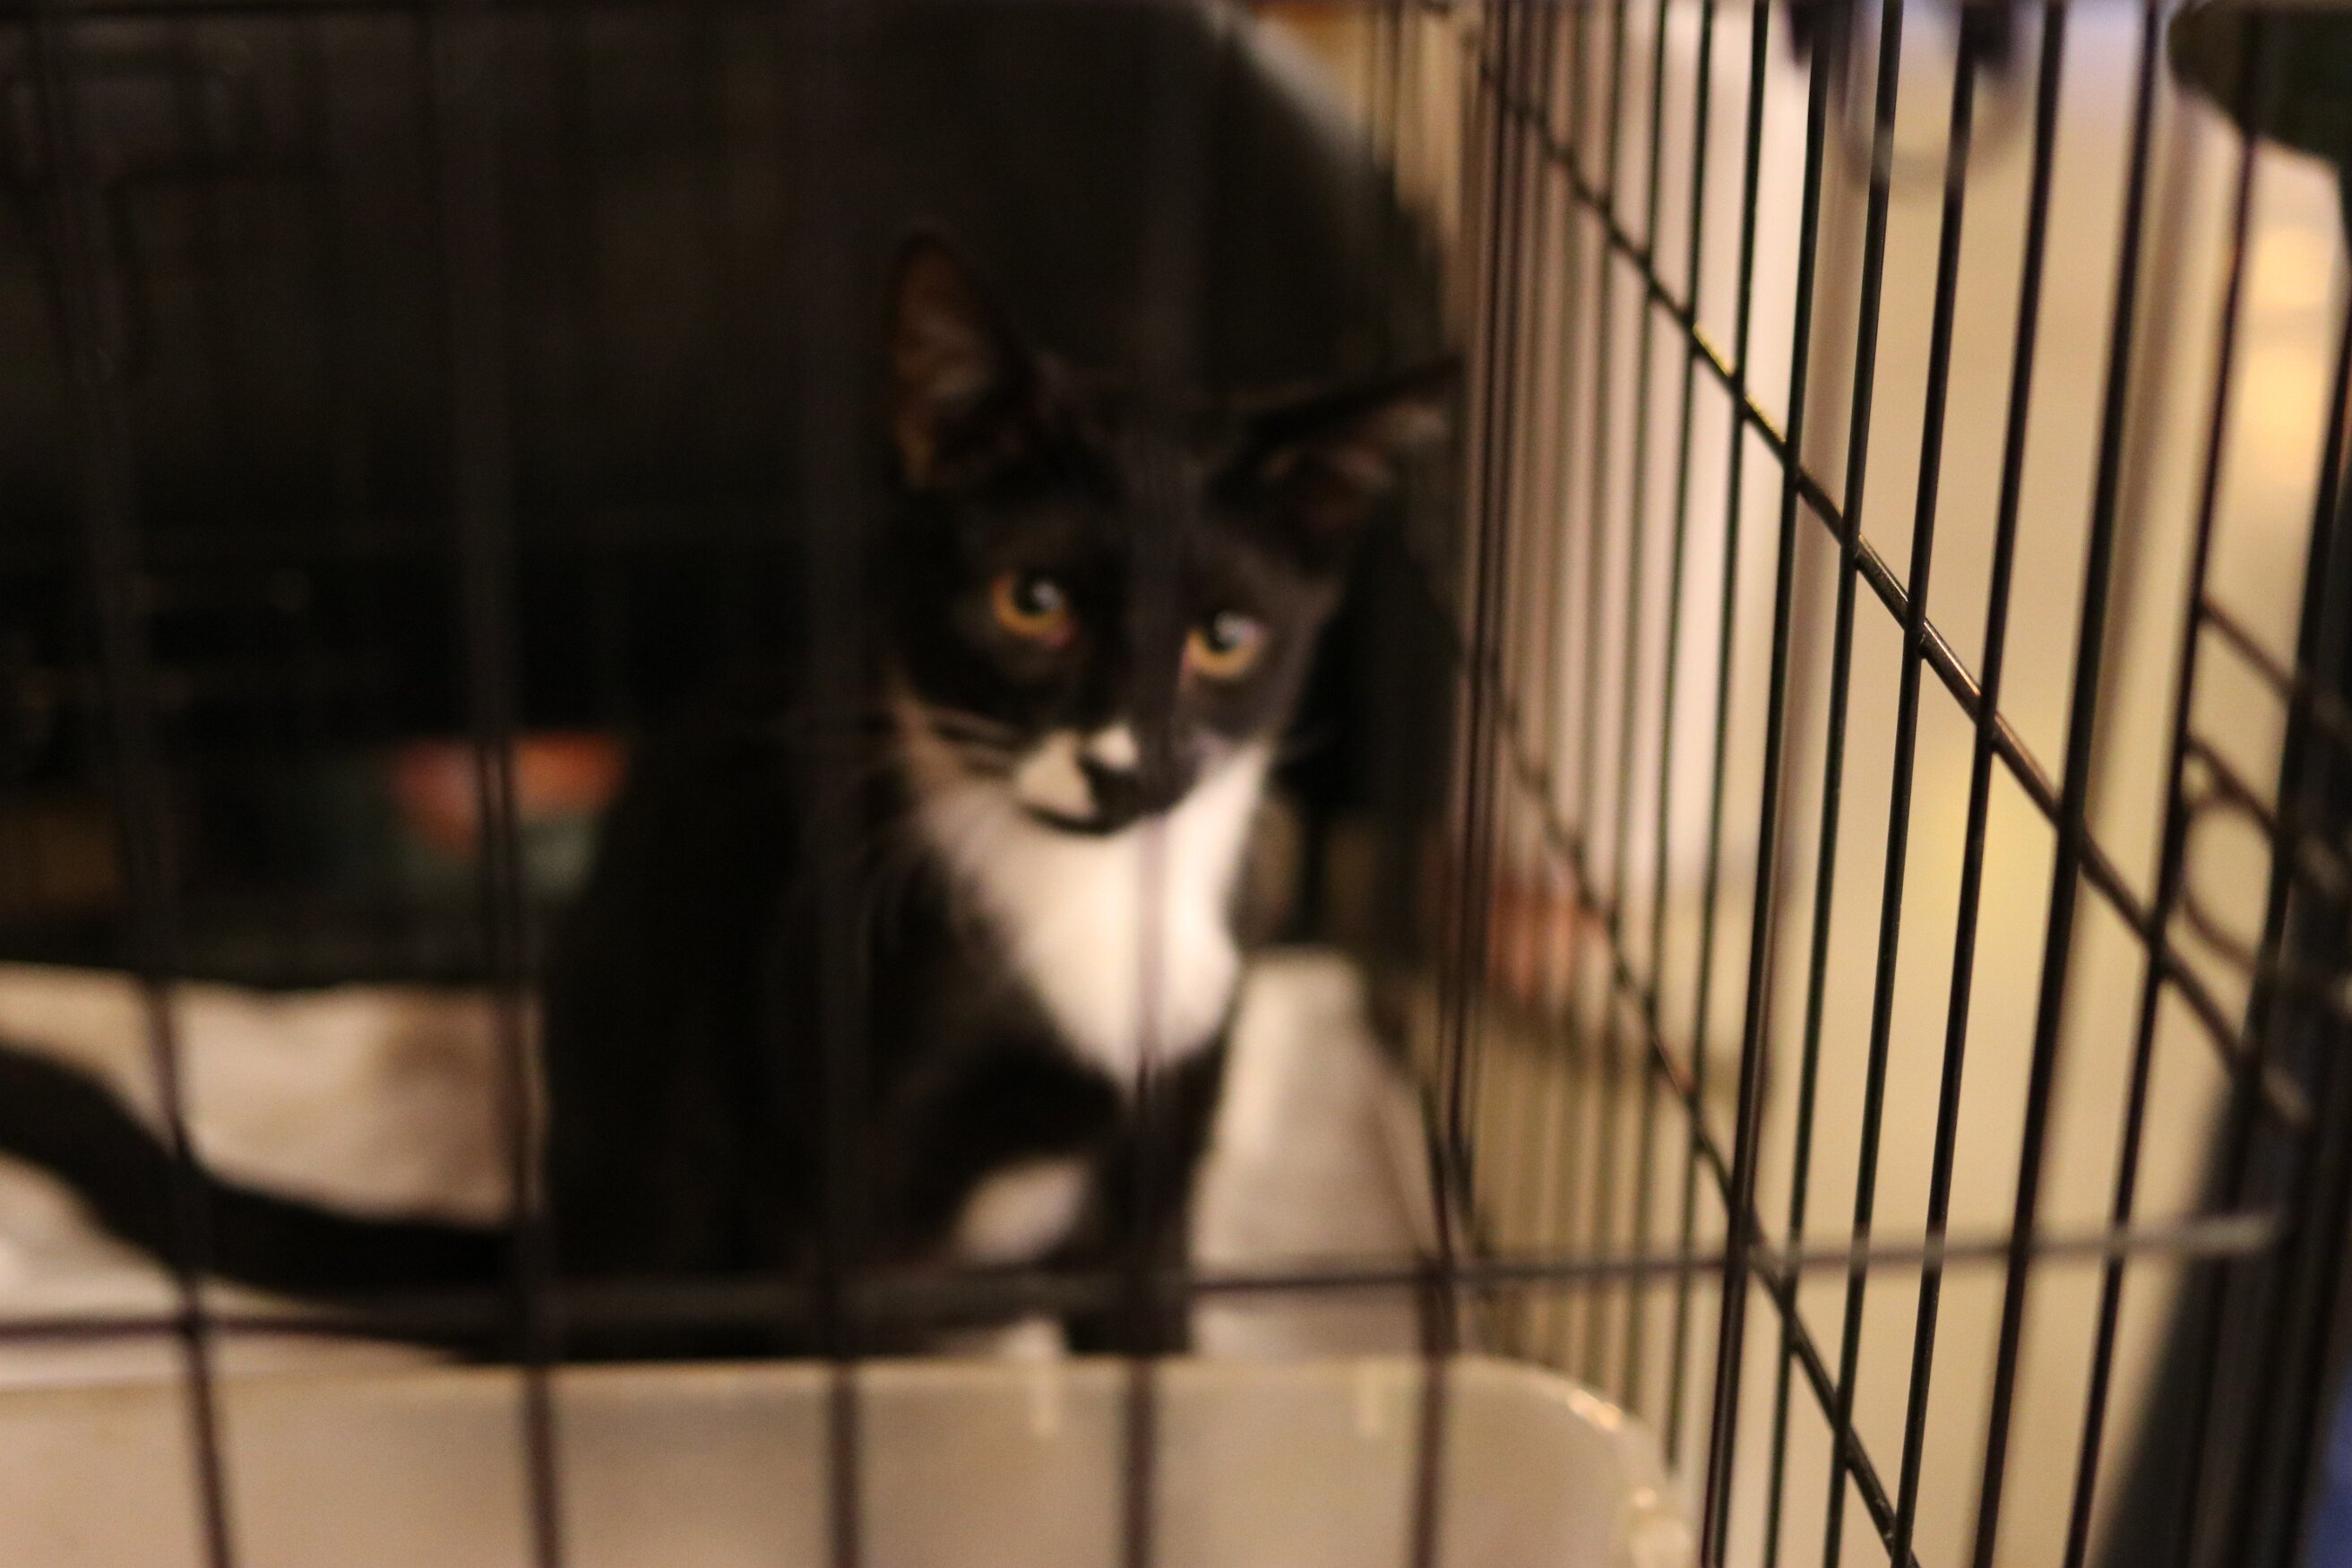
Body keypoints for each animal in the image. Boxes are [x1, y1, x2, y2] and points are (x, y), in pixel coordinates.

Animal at [0, 234, 1449, 1360]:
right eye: (1029, 603)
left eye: (1226, 637)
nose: (1124, 763)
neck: (1086, 902)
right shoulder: (843, 1177)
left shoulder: (1168, 1144)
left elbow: (1153, 1339)